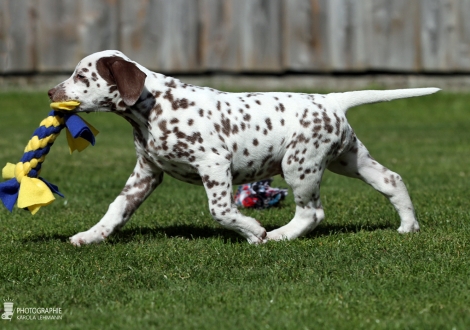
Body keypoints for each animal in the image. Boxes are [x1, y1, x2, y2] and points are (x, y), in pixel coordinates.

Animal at [46, 49, 438, 245]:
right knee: (392, 180)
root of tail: (330, 100)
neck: (155, 107)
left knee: (312, 213)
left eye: (82, 76)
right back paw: (408, 227)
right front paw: (91, 236)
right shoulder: (147, 172)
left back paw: (278, 236)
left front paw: (253, 231)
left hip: (300, 165)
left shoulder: (213, 165)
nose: (50, 92)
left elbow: (220, 210)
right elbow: (116, 209)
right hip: (349, 159)